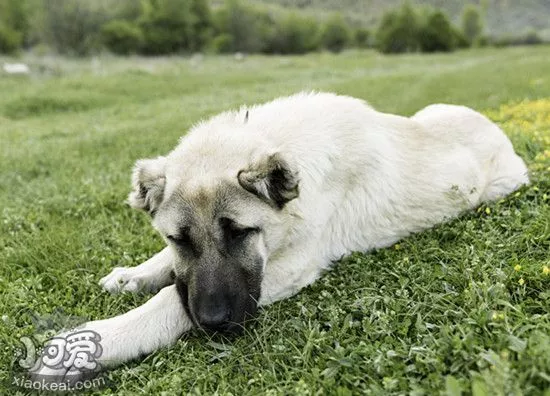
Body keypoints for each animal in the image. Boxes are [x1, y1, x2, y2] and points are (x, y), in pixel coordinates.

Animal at [31, 92, 532, 380]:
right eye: (180, 239)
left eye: (239, 232)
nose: (212, 323)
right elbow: (170, 271)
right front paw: (133, 274)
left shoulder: (291, 266)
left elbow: (170, 301)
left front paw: (95, 341)